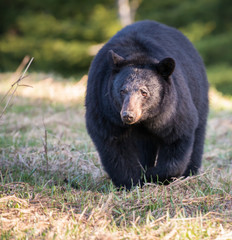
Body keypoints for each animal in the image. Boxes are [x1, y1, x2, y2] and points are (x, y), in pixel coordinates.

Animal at [84, 20, 208, 189]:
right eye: (122, 90)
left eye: (144, 92)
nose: (128, 115)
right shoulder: (105, 107)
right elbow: (113, 144)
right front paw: (131, 182)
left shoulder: (172, 110)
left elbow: (177, 136)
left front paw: (153, 175)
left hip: (198, 93)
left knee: (198, 133)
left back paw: (190, 173)